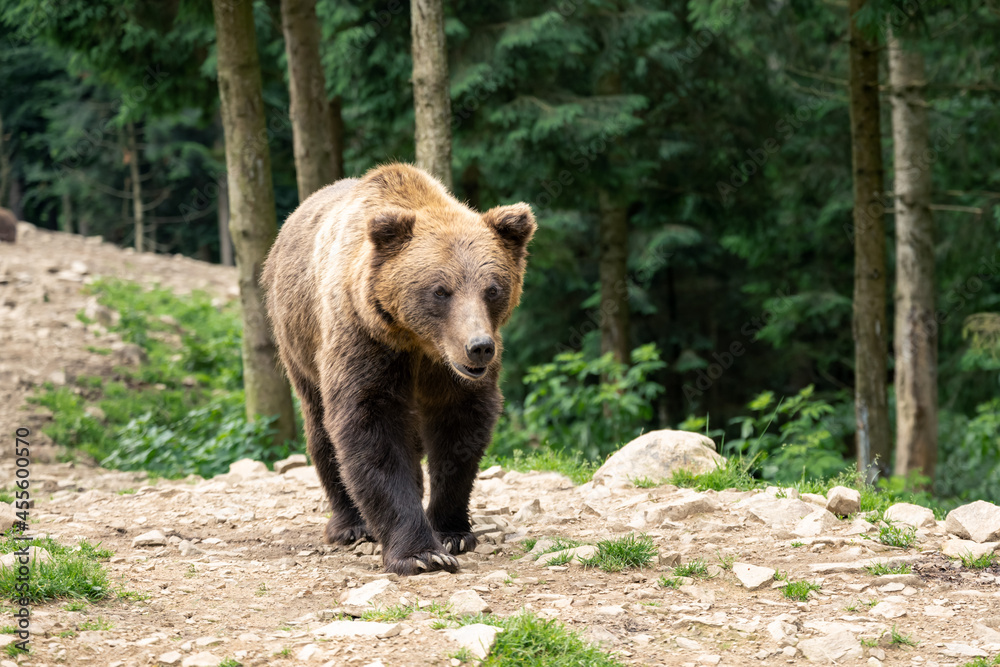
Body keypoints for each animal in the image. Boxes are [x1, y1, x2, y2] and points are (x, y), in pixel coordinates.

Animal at [262, 163, 536, 575]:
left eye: (493, 289)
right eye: (440, 290)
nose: (478, 348)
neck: (420, 343)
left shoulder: (448, 374)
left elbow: (460, 432)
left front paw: (452, 532)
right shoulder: (367, 341)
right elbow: (370, 428)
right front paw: (421, 553)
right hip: (297, 340)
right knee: (321, 429)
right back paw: (352, 524)